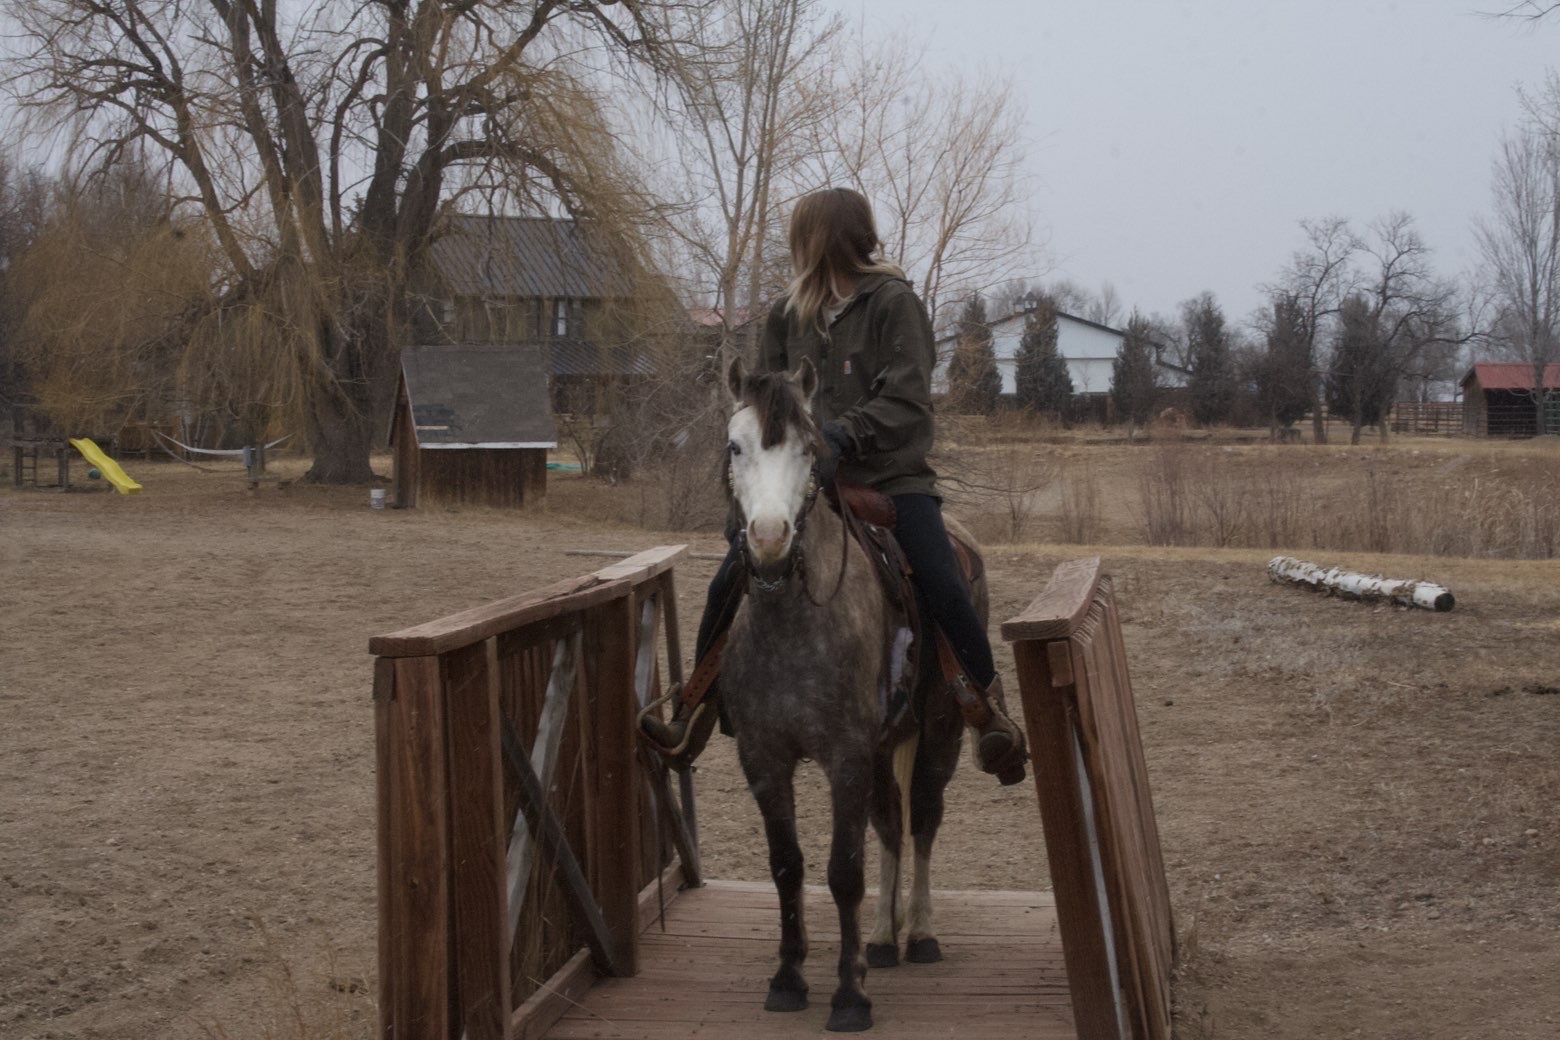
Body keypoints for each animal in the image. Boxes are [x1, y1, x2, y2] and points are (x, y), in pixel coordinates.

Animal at [718, 356, 984, 1032]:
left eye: (812, 450)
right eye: (735, 446)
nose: (768, 538)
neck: (794, 624)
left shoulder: (846, 758)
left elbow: (844, 871)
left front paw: (849, 994)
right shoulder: (765, 759)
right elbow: (788, 866)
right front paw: (789, 978)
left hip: (939, 734)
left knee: (922, 821)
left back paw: (919, 933)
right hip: (888, 746)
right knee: (890, 823)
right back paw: (884, 938)